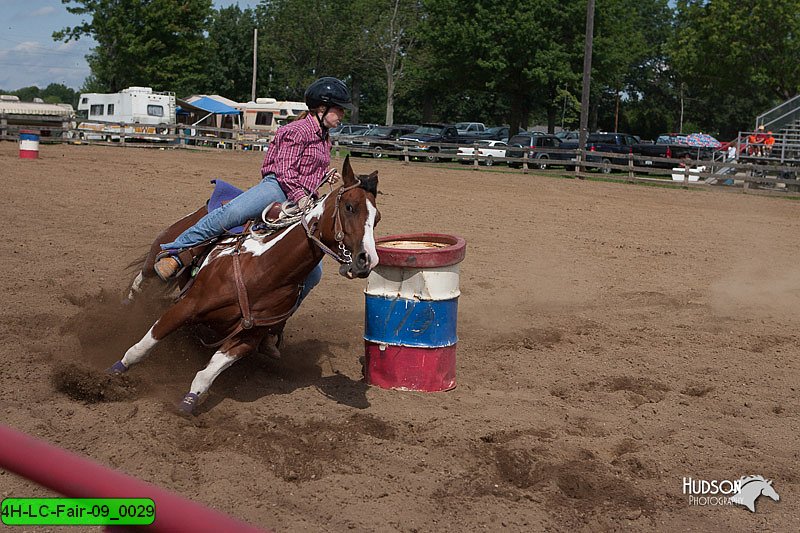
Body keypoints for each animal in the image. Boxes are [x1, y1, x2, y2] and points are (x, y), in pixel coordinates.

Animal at [109, 156, 382, 414]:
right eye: (350, 207)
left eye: (377, 219)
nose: (367, 260)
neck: (264, 271)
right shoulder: (186, 307)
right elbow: (142, 347)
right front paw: (113, 374)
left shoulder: (247, 339)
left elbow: (207, 374)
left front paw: (188, 404)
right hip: (161, 250)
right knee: (142, 280)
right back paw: (124, 308)